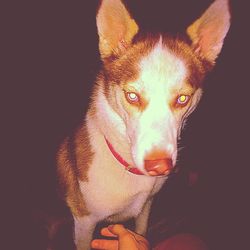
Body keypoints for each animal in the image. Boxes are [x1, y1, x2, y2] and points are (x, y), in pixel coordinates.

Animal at [56, 0, 230, 248]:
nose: (159, 166)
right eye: (132, 96)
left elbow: (141, 230)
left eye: (182, 99)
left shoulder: (146, 207)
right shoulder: (84, 222)